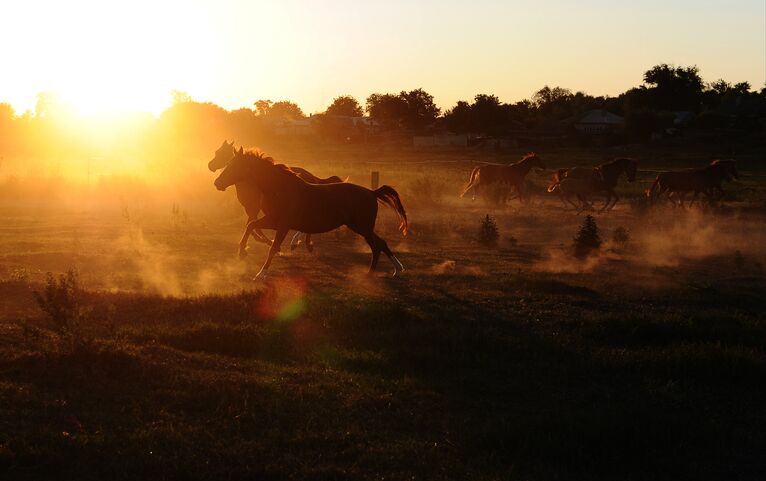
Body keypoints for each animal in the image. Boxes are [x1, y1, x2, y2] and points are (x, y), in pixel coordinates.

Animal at [207, 141, 344, 256]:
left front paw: (263, 243)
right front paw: (260, 242)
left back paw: (298, 242)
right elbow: (251, 225)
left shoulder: (255, 208)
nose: (210, 166)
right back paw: (305, 244)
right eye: (217, 152)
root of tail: (314, 178)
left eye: (222, 154)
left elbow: (252, 226)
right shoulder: (252, 210)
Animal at [213, 148, 412, 280]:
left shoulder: (283, 226)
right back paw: (392, 270)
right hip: (360, 227)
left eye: (234, 165)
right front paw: (241, 252)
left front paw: (261, 273)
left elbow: (272, 247)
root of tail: (372, 192)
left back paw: (379, 271)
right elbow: (251, 226)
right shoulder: (272, 221)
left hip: (362, 227)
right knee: (379, 244)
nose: (217, 183)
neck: (279, 189)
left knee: (377, 245)